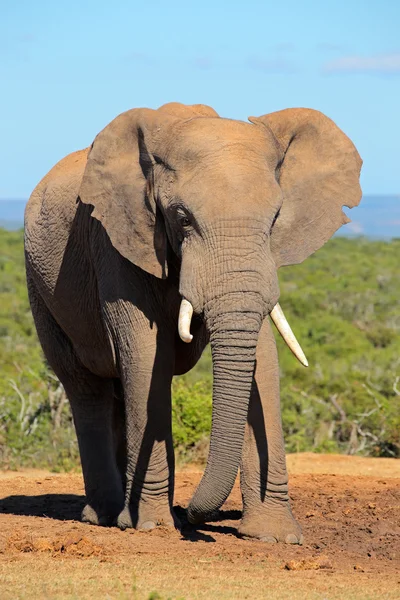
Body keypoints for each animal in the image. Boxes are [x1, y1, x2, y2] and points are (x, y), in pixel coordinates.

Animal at [25, 103, 362, 544]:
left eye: (275, 218)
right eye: (182, 218)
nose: (193, 516)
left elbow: (263, 355)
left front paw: (276, 536)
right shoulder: (115, 239)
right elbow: (145, 353)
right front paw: (152, 526)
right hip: (40, 289)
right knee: (87, 389)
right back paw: (107, 516)